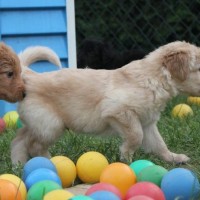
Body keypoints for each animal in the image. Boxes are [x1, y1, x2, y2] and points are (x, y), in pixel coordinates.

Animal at [10, 41, 200, 164]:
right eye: (198, 69)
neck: (154, 78)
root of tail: (31, 76)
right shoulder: (118, 112)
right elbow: (135, 136)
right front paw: (126, 158)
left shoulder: (148, 123)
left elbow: (159, 144)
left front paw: (174, 158)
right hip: (51, 124)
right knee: (34, 145)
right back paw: (50, 162)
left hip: (39, 123)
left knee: (19, 139)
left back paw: (18, 165)